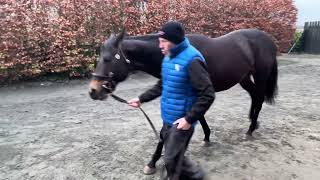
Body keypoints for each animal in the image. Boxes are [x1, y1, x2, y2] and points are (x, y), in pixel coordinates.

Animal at [88, 28, 278, 167]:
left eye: (107, 59)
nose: (93, 90)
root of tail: (268, 39)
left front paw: (153, 161)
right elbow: (197, 116)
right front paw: (207, 137)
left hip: (260, 76)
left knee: (259, 98)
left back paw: (251, 129)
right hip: (244, 78)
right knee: (254, 96)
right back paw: (253, 121)